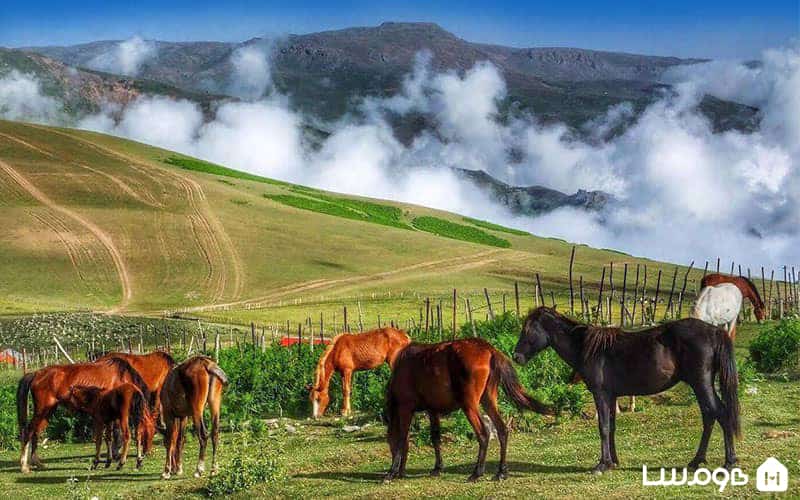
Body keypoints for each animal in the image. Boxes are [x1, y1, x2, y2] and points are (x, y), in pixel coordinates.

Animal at [15, 356, 150, 472]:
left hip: (47, 412)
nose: (147, 453)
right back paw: (24, 466)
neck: (122, 377)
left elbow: (109, 438)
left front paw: (110, 459)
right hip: (41, 410)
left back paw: (37, 463)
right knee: (28, 431)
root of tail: (36, 374)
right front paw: (112, 458)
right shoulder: (111, 418)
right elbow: (112, 437)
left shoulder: (109, 418)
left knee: (36, 432)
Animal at [384, 338, 552, 482]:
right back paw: (501, 472)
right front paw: (437, 468)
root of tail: (489, 349)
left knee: (483, 434)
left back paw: (477, 473)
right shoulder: (432, 410)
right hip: (488, 401)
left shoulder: (405, 408)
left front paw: (391, 472)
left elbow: (402, 438)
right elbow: (435, 437)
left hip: (469, 406)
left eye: (389, 443)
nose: (400, 472)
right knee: (502, 430)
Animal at [516, 306, 740, 474]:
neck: (590, 349)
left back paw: (729, 462)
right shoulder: (611, 396)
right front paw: (613, 461)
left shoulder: (601, 394)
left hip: (701, 383)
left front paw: (602, 465)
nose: (516, 356)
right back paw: (696, 461)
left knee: (719, 413)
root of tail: (714, 331)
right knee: (710, 416)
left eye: (527, 330)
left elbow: (603, 427)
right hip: (701, 385)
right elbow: (612, 427)